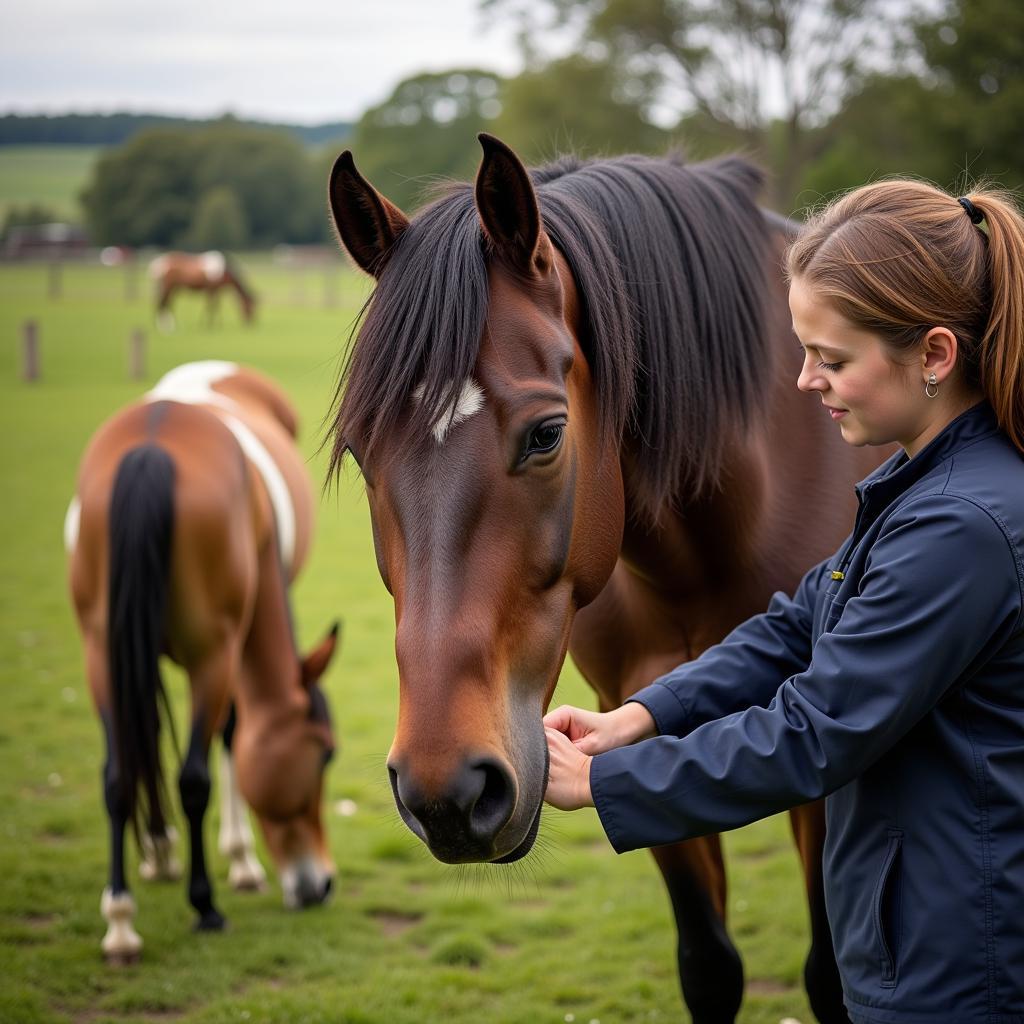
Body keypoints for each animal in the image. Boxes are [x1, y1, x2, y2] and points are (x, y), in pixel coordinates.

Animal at [68, 364, 339, 962]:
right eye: (326, 756)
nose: (322, 884)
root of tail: (151, 453)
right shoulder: (230, 647)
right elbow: (230, 739)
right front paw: (239, 865)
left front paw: (159, 855)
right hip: (209, 657)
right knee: (195, 772)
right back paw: (204, 904)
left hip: (102, 652)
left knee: (119, 772)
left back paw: (122, 918)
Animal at [325, 136, 888, 1024]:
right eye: (358, 448)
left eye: (547, 434)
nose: (446, 790)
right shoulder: (636, 720)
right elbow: (710, 964)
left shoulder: (832, 773)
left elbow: (834, 977)